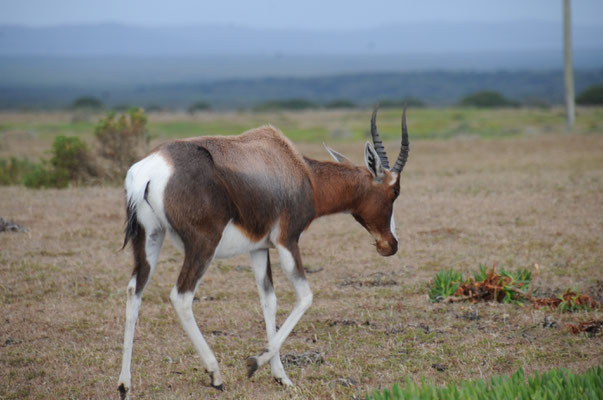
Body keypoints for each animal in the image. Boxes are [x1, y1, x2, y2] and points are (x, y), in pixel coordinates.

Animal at [118, 105, 410, 396]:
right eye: (394, 191)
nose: (391, 244)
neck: (299, 170)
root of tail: (151, 169)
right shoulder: (287, 241)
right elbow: (305, 297)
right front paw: (255, 364)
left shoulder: (258, 249)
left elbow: (269, 301)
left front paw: (280, 376)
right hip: (203, 246)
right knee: (181, 297)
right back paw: (216, 375)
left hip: (150, 239)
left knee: (134, 291)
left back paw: (124, 385)